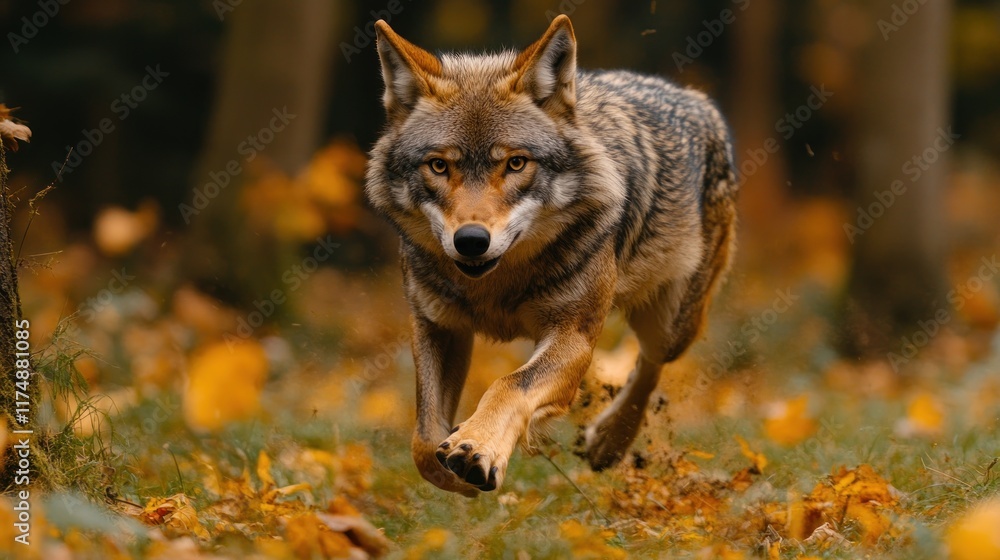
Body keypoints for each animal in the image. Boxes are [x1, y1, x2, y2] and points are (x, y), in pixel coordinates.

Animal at [365, 15, 738, 496]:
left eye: (516, 163)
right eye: (439, 166)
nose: (471, 240)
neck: (497, 288)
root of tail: (694, 97)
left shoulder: (573, 337)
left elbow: (510, 384)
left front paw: (476, 447)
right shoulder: (436, 326)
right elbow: (424, 439)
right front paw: (455, 464)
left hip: (669, 324)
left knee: (650, 362)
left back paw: (609, 441)